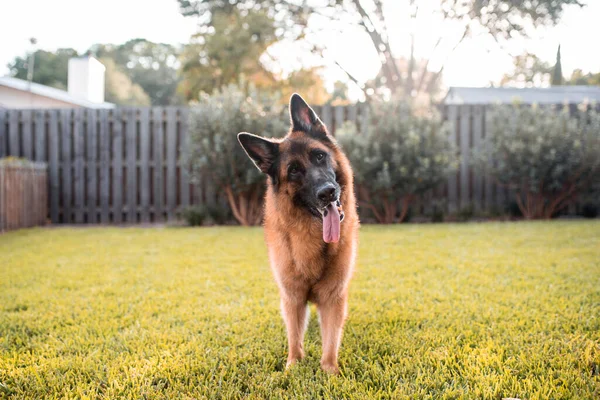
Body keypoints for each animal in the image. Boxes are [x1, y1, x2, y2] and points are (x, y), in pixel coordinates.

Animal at [236, 94, 358, 376]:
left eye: (320, 156)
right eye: (293, 170)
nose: (327, 192)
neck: (314, 240)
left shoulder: (333, 298)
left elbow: (331, 341)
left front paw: (330, 371)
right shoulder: (292, 298)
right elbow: (294, 337)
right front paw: (293, 366)